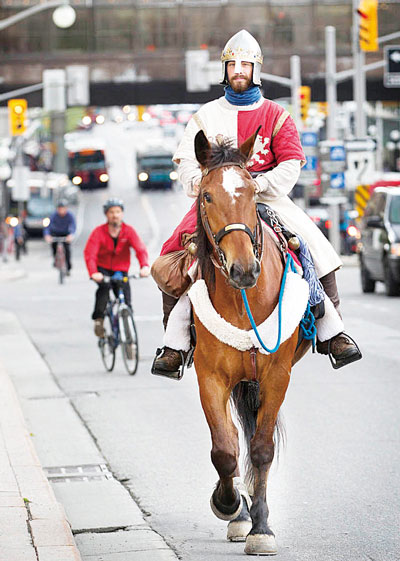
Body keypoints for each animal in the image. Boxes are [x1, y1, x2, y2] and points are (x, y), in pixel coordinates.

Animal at [191, 129, 310, 552]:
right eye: (207, 196)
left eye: (251, 192)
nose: (244, 269)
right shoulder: (211, 378)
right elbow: (225, 450)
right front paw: (229, 505)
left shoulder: (277, 376)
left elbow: (261, 449)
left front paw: (261, 528)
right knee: (232, 437)